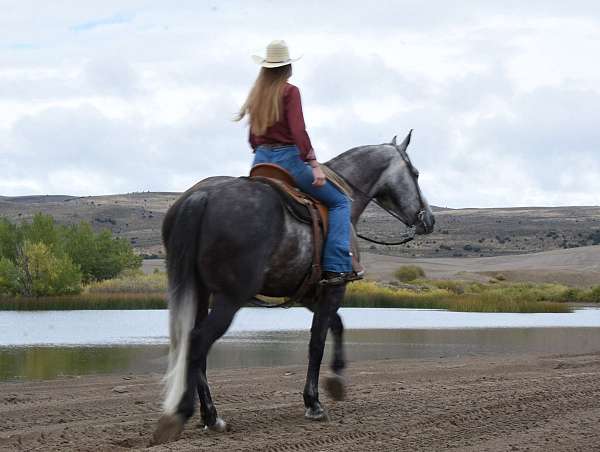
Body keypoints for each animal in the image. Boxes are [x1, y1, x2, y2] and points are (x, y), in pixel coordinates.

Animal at [154, 131, 436, 444]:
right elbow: (317, 342)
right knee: (198, 341)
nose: (429, 219)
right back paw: (187, 415)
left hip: (201, 292)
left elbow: (337, 326)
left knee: (194, 344)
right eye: (415, 173)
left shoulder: (312, 293)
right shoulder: (335, 287)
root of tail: (201, 196)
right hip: (229, 298)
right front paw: (314, 402)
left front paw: (336, 381)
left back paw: (209, 416)